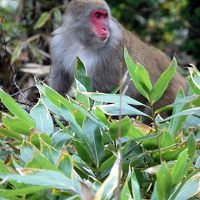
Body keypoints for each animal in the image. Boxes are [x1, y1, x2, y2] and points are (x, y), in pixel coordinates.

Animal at [48, 0, 188, 112]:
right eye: (97, 16)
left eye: (104, 16)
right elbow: (60, 82)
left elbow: (103, 92)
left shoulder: (111, 51)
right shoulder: (59, 44)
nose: (105, 28)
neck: (82, 42)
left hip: (170, 93)